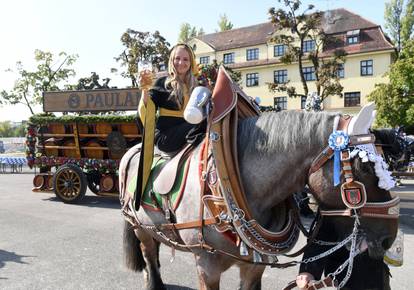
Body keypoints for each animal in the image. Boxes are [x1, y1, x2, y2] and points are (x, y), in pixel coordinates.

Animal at [118, 69, 400, 290]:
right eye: (365, 166)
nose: (389, 239)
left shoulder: (254, 266)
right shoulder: (206, 266)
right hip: (140, 227)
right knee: (149, 255)